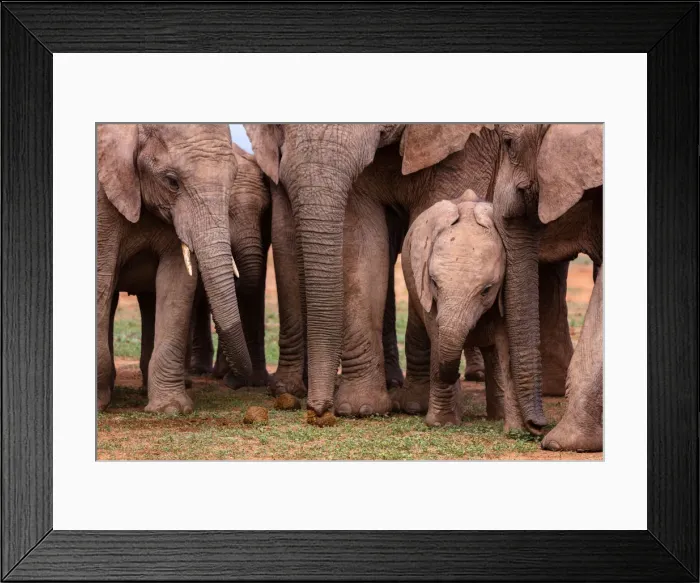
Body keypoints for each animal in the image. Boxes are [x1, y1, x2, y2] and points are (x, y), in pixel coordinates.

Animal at [97, 124, 252, 413]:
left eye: (234, 178)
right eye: (172, 181)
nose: (235, 382)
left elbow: (177, 284)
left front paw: (171, 409)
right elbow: (101, 277)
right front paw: (98, 405)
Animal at [400, 193, 525, 428]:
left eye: (486, 290)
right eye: (434, 283)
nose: (458, 375)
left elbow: (504, 340)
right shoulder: (426, 290)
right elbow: (436, 334)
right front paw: (441, 424)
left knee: (492, 352)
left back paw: (497, 416)